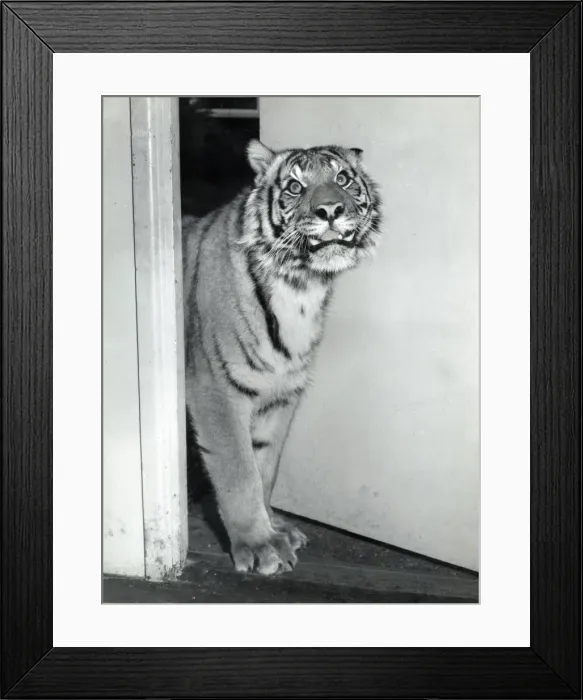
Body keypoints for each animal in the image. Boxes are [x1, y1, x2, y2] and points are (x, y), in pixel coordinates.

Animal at [183, 139, 382, 575]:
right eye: (294, 187)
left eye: (343, 179)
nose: (330, 210)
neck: (301, 285)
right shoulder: (215, 392)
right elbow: (239, 473)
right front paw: (259, 546)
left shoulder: (281, 395)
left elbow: (265, 469)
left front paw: (276, 530)